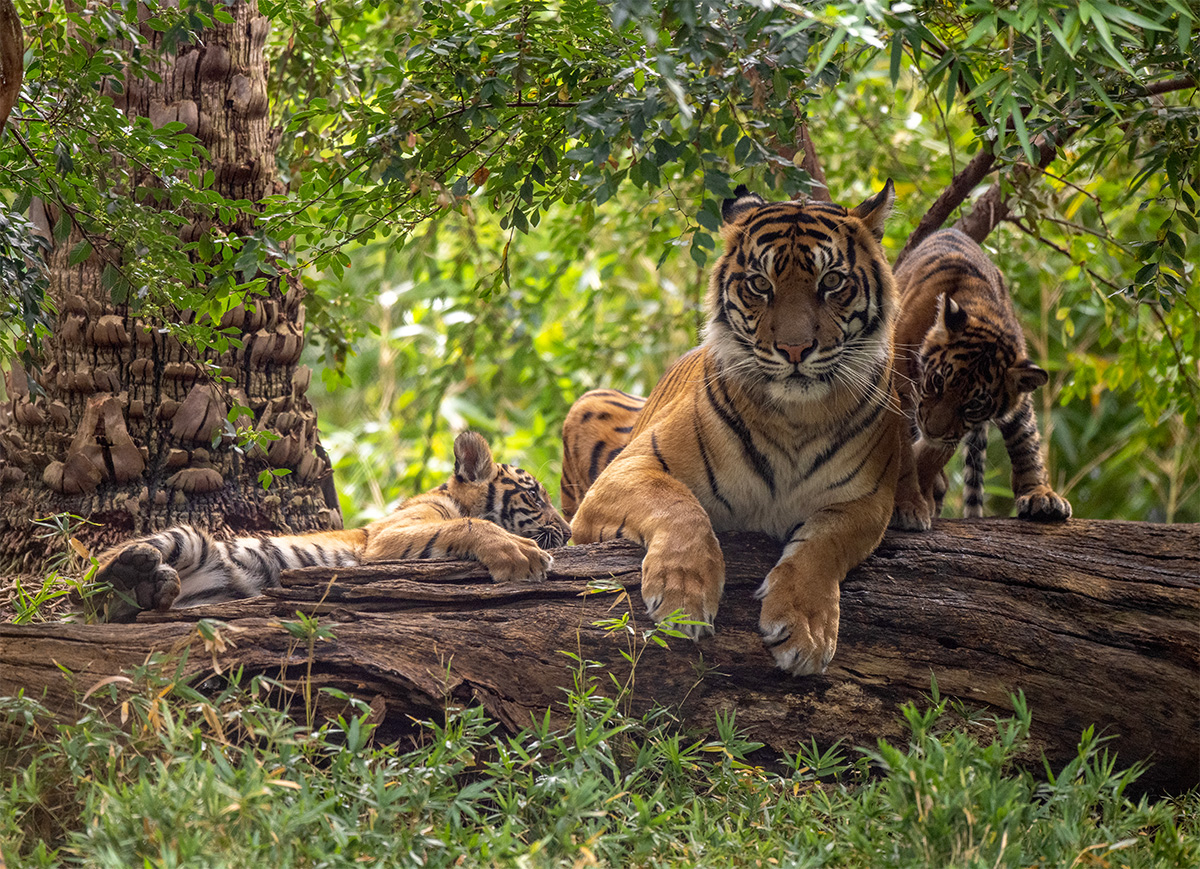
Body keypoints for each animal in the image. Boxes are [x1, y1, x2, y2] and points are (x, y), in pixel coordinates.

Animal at [91, 432, 568, 619]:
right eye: (536, 497)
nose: (567, 530)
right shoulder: (385, 537)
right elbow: (469, 526)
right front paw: (521, 555)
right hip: (185, 535)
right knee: (93, 581)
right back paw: (131, 573)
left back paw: (156, 589)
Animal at [566, 180, 902, 676]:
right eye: (760, 284)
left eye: (831, 282)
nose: (795, 349)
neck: (795, 420)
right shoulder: (629, 468)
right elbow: (679, 506)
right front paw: (682, 596)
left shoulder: (867, 501)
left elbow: (822, 547)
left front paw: (804, 629)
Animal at [892, 226, 1070, 525]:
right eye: (937, 381)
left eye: (974, 404)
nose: (932, 430)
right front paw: (908, 506)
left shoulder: (955, 427)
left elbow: (931, 456)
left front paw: (917, 500)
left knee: (1026, 441)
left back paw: (1041, 496)